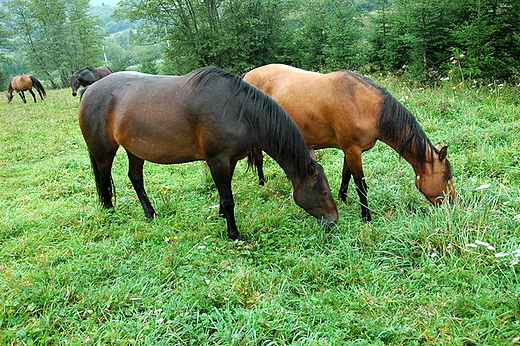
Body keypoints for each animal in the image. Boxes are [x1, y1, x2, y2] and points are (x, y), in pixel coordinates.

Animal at [77, 67, 338, 241]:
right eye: (323, 191)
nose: (333, 221)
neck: (238, 111)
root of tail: (89, 89)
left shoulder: (230, 161)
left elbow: (225, 195)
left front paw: (222, 216)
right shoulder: (217, 160)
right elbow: (228, 198)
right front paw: (234, 233)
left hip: (135, 150)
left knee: (135, 178)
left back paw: (150, 213)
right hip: (104, 151)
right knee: (104, 180)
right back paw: (110, 212)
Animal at [244, 64, 456, 222]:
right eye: (447, 177)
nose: (453, 203)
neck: (365, 106)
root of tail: (248, 75)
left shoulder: (349, 150)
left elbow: (346, 176)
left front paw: (343, 199)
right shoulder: (353, 150)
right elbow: (360, 185)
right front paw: (366, 217)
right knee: (259, 158)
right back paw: (262, 184)